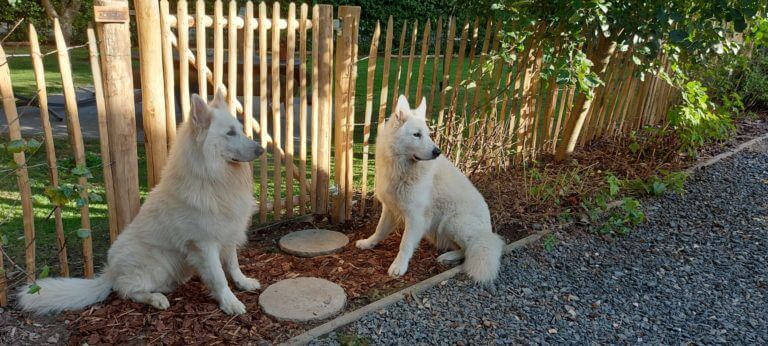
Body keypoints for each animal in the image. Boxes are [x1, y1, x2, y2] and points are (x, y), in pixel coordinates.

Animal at [18, 87, 264, 316]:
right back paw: (156, 299)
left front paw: (243, 282)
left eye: (240, 130)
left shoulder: (228, 234)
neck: (213, 178)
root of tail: (110, 272)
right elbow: (219, 276)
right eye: (230, 133)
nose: (261, 149)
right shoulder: (205, 244)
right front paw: (230, 302)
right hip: (158, 264)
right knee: (125, 290)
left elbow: (233, 264)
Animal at [358, 95, 508, 284]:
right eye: (417, 135)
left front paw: (399, 266)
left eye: (428, 134)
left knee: (468, 249)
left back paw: (448, 257)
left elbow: (405, 244)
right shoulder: (390, 208)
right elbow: (379, 230)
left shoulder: (415, 217)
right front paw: (368, 243)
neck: (402, 168)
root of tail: (487, 233)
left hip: (452, 221)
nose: (438, 151)